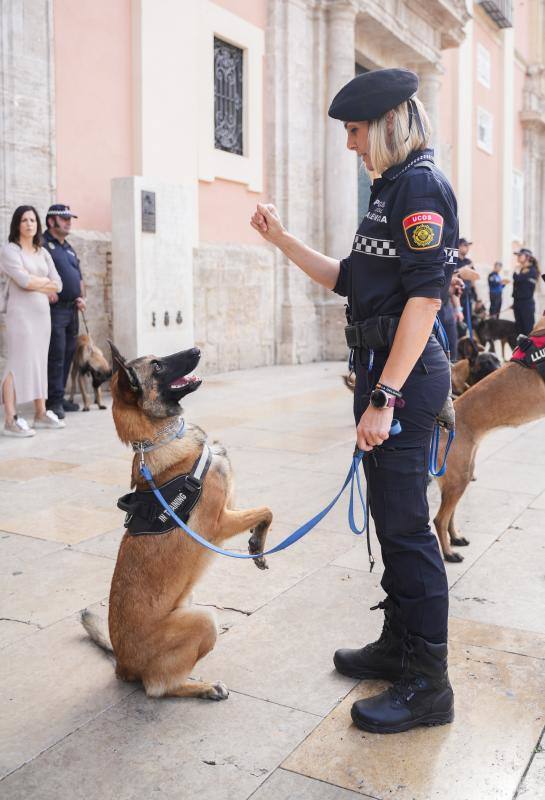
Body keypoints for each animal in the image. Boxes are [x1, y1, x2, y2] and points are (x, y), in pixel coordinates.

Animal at [81, 344, 272, 700]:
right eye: (156, 366)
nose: (196, 348)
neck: (162, 438)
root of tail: (122, 664)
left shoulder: (231, 507)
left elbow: (262, 512)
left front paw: (257, 542)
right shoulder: (219, 524)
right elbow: (267, 509)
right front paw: (257, 543)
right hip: (203, 620)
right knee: (158, 686)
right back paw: (203, 687)